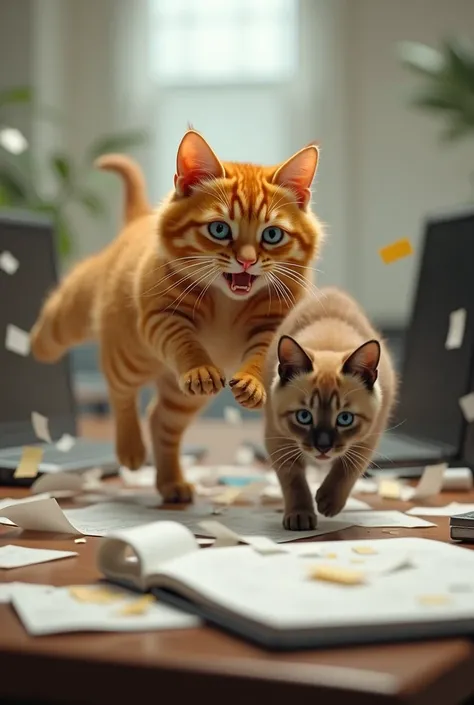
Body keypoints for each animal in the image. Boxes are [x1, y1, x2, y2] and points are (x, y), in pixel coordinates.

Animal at [31, 128, 324, 500]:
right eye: (219, 229)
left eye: (272, 234)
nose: (246, 261)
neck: (228, 301)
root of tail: (139, 220)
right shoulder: (164, 316)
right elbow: (186, 344)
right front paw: (199, 368)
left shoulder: (273, 326)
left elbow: (260, 357)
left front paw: (252, 384)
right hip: (124, 352)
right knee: (113, 384)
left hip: (179, 398)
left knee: (159, 420)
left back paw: (170, 483)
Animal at [262, 286, 396, 528]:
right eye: (304, 416)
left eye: (345, 419)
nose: (323, 446)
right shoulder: (277, 437)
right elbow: (293, 479)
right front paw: (300, 515)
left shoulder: (370, 437)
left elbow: (348, 469)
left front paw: (329, 502)